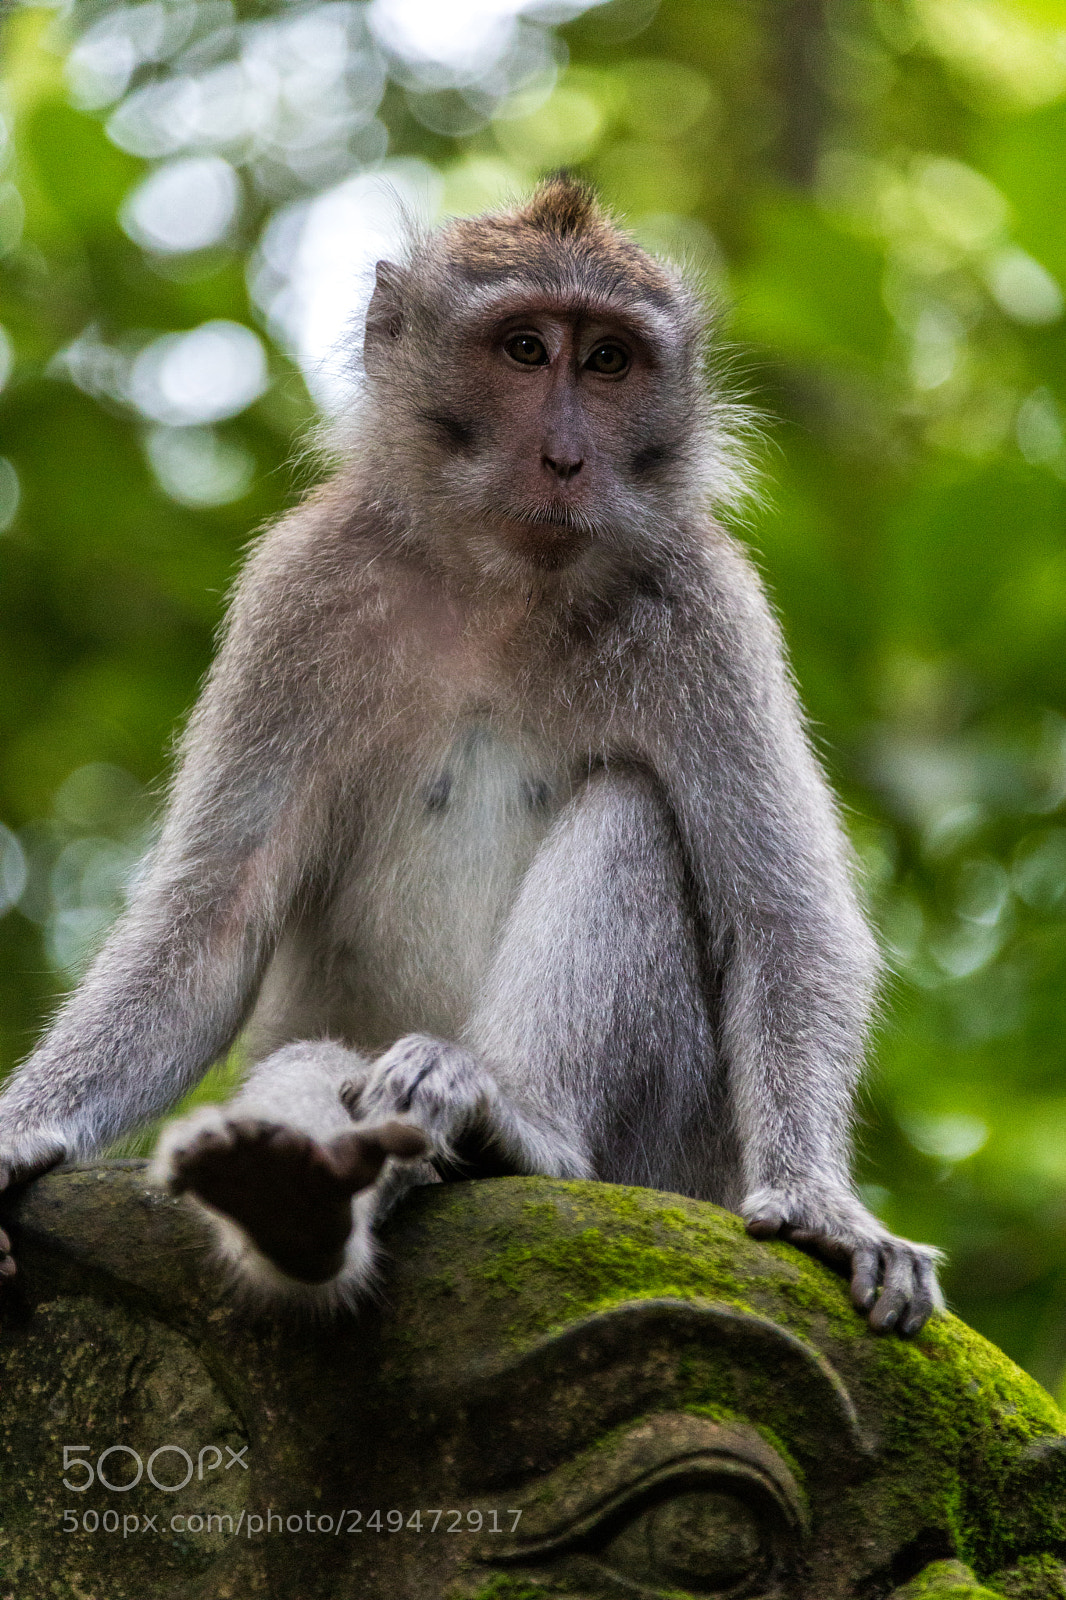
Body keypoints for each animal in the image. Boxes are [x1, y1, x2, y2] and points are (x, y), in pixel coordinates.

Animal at [0, 176, 942, 1334]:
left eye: (608, 361)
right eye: (525, 349)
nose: (566, 458)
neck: (504, 587)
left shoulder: (706, 612)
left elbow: (784, 917)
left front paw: (819, 1202)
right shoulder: (300, 595)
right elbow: (211, 921)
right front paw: (23, 1130)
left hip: (668, 1159)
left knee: (630, 810)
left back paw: (505, 1125)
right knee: (319, 1059)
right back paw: (301, 1190)